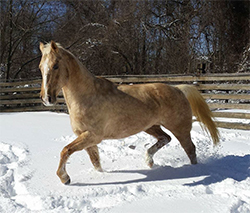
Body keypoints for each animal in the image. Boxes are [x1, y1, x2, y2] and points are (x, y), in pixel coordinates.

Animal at [38, 40, 219, 184]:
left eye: (55, 66)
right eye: (40, 67)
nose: (47, 98)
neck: (87, 96)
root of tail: (178, 89)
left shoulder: (93, 136)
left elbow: (66, 150)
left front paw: (64, 178)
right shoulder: (85, 137)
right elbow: (95, 162)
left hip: (180, 129)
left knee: (190, 149)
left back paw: (193, 171)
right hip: (151, 126)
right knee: (165, 138)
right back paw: (149, 161)